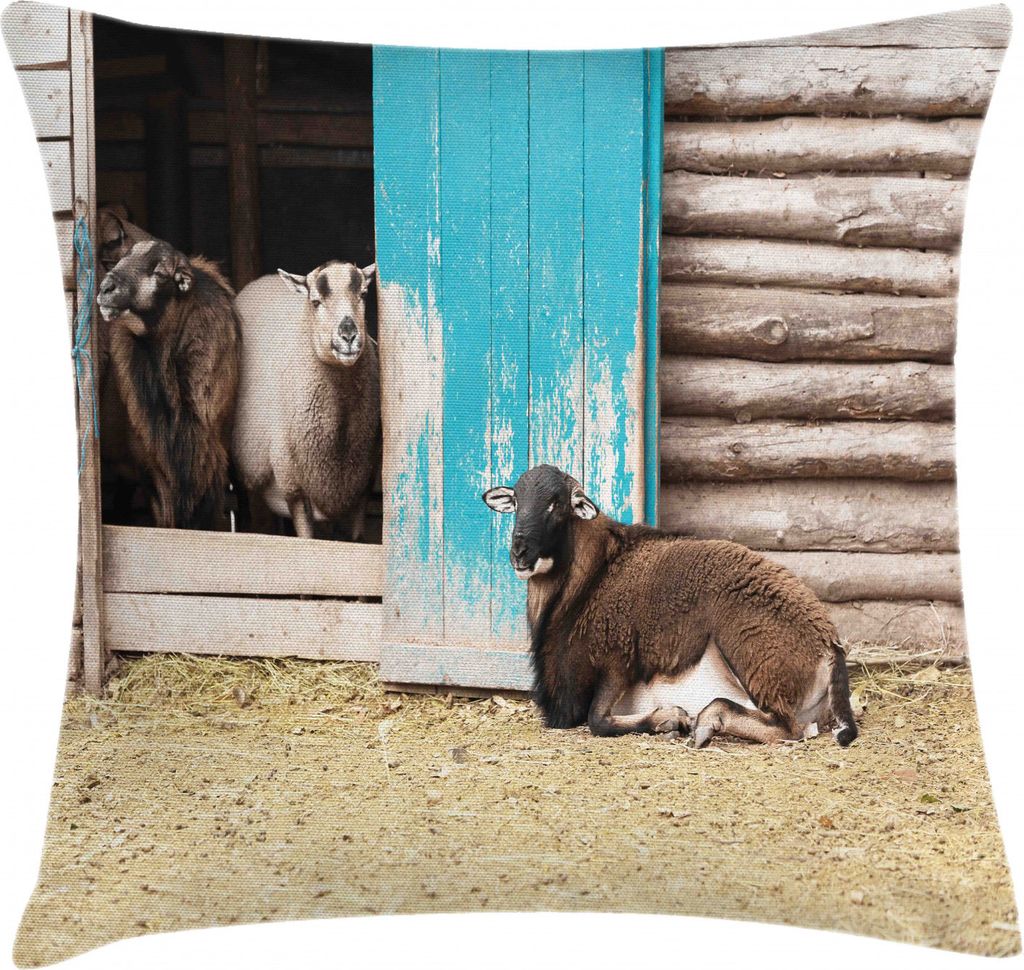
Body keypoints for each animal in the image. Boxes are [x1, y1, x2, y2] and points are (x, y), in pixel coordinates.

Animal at [231, 261, 380, 539]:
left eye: (364, 294)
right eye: (315, 301)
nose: (348, 335)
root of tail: (262, 281)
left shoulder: (359, 488)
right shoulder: (294, 487)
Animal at [483, 464, 859, 748]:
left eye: (556, 504)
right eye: (516, 502)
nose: (520, 552)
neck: (589, 579)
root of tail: (828, 644)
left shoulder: (617, 664)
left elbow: (597, 720)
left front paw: (670, 718)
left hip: (747, 652)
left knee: (787, 728)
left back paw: (707, 721)